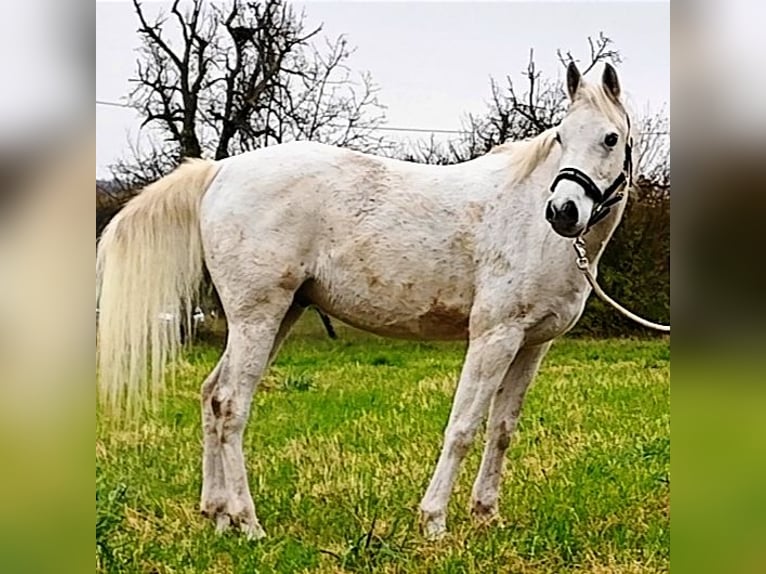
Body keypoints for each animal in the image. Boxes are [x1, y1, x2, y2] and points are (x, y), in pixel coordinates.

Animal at [96, 65, 636, 544]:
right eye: (561, 137)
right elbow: (462, 426)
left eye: (610, 138)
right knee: (231, 404)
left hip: (279, 315)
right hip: (258, 316)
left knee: (211, 394)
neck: (527, 219)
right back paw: (249, 524)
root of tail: (220, 169)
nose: (563, 212)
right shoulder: (494, 336)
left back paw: (218, 515)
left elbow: (501, 430)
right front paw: (434, 522)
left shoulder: (531, 345)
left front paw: (487, 517)